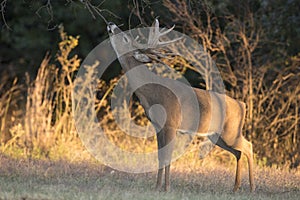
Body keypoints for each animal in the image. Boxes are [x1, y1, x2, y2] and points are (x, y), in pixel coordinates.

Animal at [106, 19, 254, 192]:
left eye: (125, 39)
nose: (110, 23)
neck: (152, 92)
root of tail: (242, 105)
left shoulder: (171, 123)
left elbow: (167, 157)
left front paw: (167, 188)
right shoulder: (158, 126)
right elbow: (160, 157)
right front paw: (157, 187)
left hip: (230, 131)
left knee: (248, 146)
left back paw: (252, 188)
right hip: (217, 136)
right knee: (238, 152)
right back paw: (236, 188)